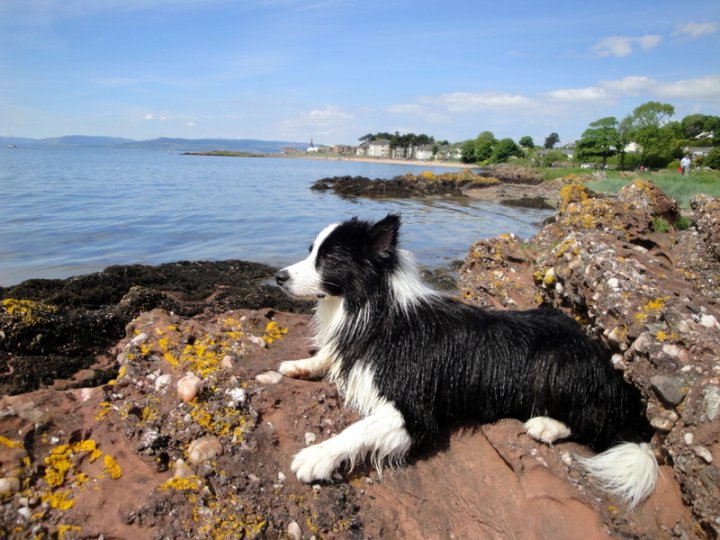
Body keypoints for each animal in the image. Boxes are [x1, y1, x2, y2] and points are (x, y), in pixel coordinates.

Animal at [274, 214, 660, 506]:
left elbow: (357, 429)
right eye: (311, 252)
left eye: (329, 259)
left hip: (556, 364)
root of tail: (617, 379)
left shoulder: (414, 412)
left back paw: (547, 425)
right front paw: (301, 364)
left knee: (598, 424)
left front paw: (316, 456)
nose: (278, 277)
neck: (376, 311)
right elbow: (330, 356)